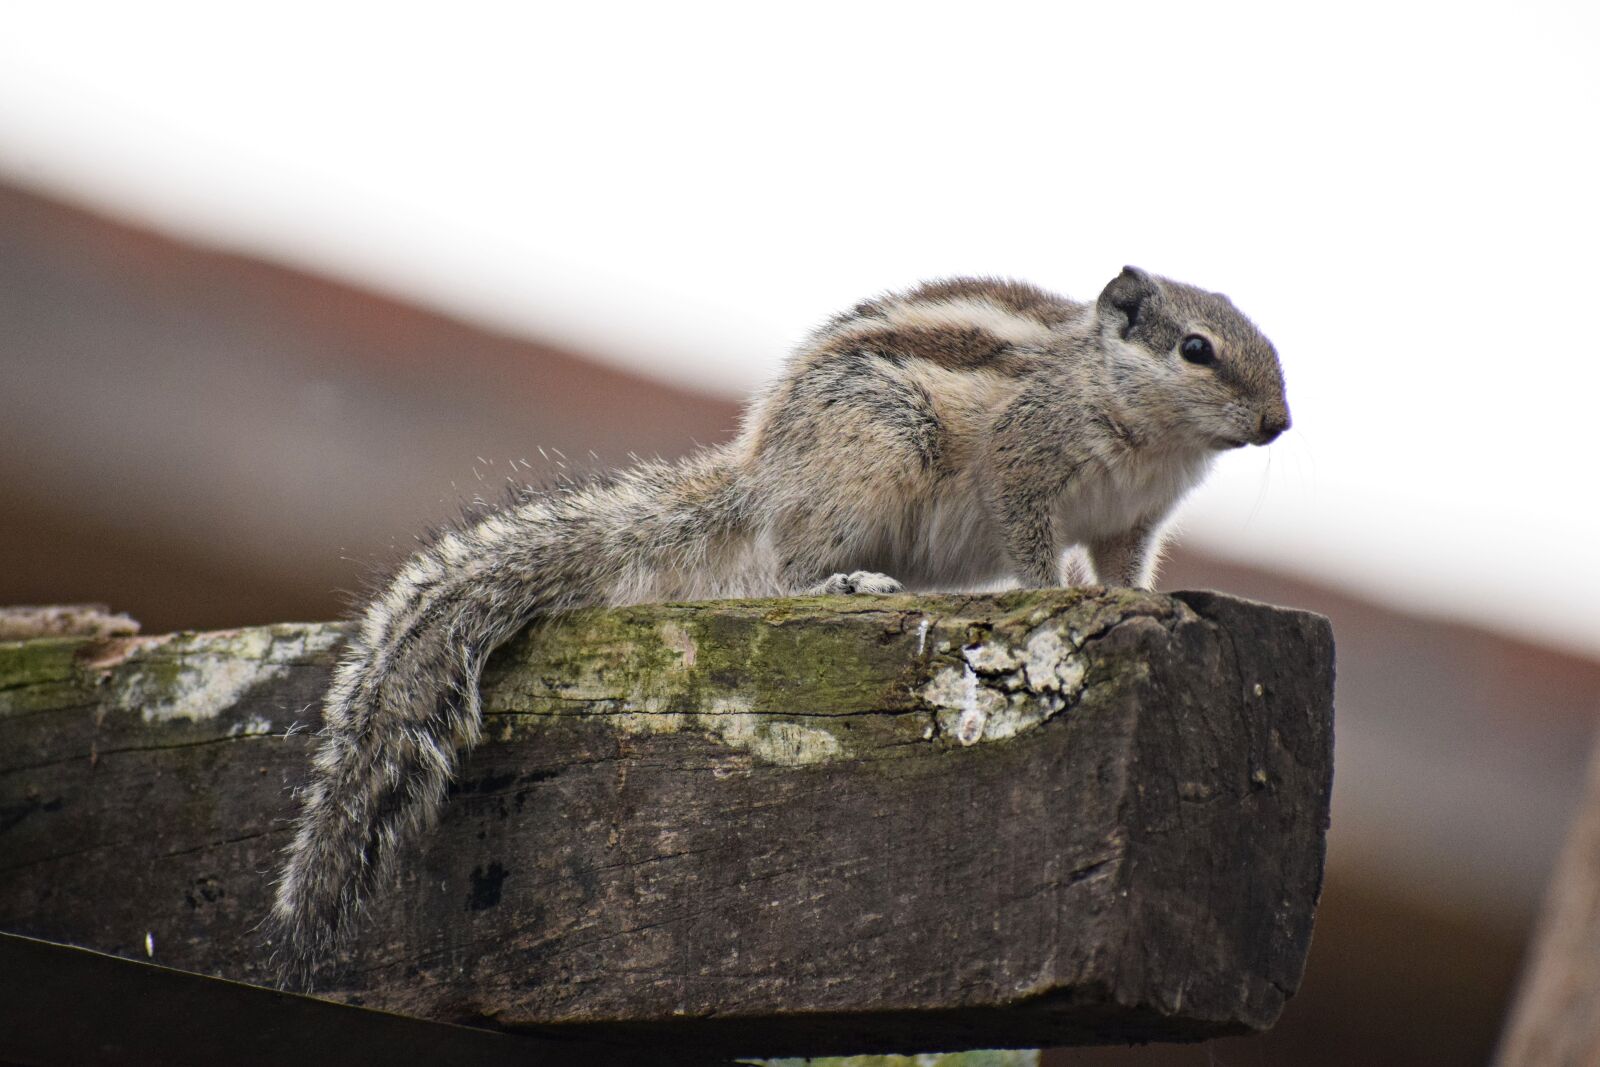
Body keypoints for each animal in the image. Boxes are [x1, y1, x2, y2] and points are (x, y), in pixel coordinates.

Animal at [269, 266, 1290, 981]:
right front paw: (1058, 592)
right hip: (871, 460)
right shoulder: (1024, 465)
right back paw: (848, 581)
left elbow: (1125, 567)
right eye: (1196, 349)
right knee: (793, 565)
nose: (1279, 422)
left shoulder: (1133, 523)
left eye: (1265, 341)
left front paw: (1152, 601)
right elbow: (1036, 545)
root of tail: (760, 476)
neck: (1130, 412)